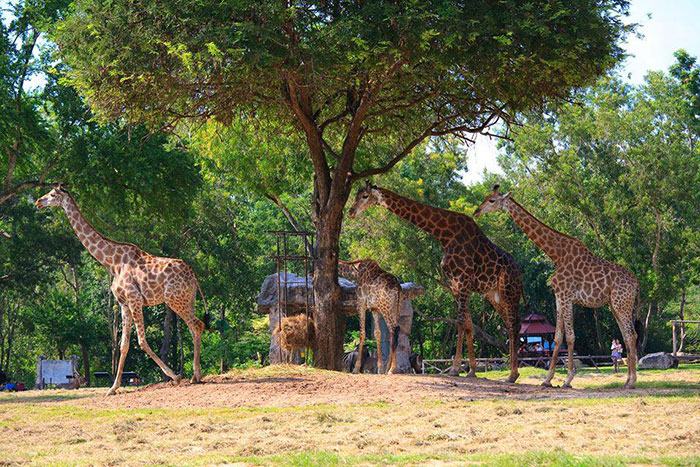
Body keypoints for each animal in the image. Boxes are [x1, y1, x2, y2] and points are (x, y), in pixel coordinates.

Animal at [35, 186, 209, 394]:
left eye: (52, 195)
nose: (38, 201)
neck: (112, 262)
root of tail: (193, 275)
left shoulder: (134, 299)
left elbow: (141, 341)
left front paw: (175, 376)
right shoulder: (124, 304)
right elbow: (124, 345)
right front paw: (113, 388)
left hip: (174, 300)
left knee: (197, 325)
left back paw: (194, 376)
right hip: (187, 299)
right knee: (194, 326)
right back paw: (196, 375)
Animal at [348, 183, 524, 384]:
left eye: (365, 196)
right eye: (356, 194)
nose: (351, 212)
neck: (444, 234)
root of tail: (519, 273)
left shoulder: (463, 281)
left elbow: (460, 322)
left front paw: (455, 369)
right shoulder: (455, 285)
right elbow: (469, 324)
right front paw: (471, 370)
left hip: (509, 292)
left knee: (514, 324)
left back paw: (512, 374)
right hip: (495, 295)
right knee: (510, 324)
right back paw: (513, 373)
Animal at [474, 185, 636, 390]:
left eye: (492, 200)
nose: (476, 211)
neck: (556, 254)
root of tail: (636, 283)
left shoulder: (567, 296)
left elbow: (571, 337)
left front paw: (568, 380)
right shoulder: (559, 297)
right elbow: (558, 337)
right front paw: (547, 380)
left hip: (622, 304)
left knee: (630, 336)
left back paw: (631, 381)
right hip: (615, 305)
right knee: (629, 335)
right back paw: (628, 380)